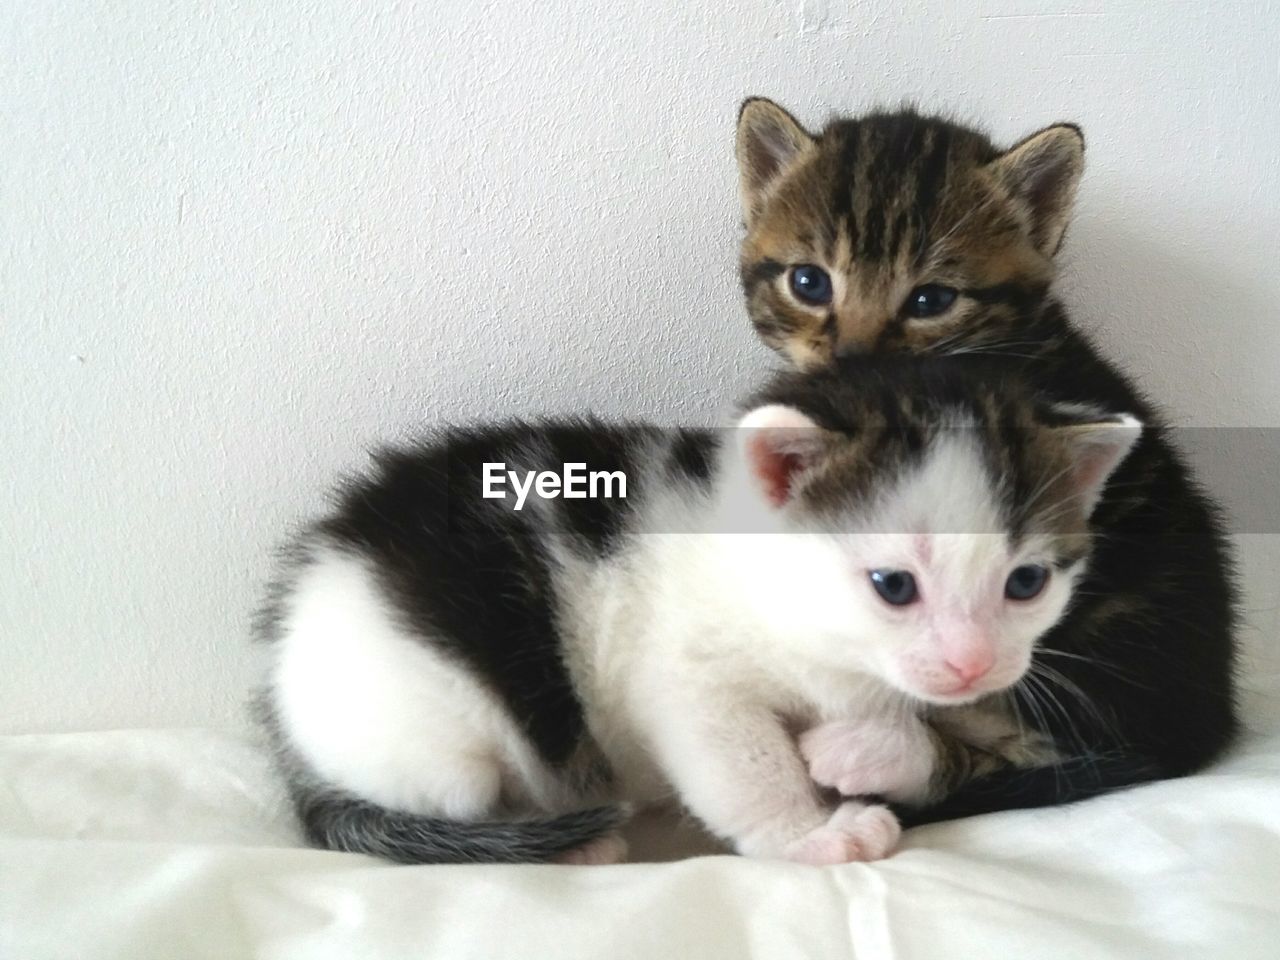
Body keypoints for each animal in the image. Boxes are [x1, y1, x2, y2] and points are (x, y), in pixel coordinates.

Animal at [254, 358, 1136, 870]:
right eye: (894, 586)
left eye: (1026, 583)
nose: (973, 663)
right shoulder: (686, 677)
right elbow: (741, 762)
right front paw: (809, 832)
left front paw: (869, 751)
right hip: (439, 741)